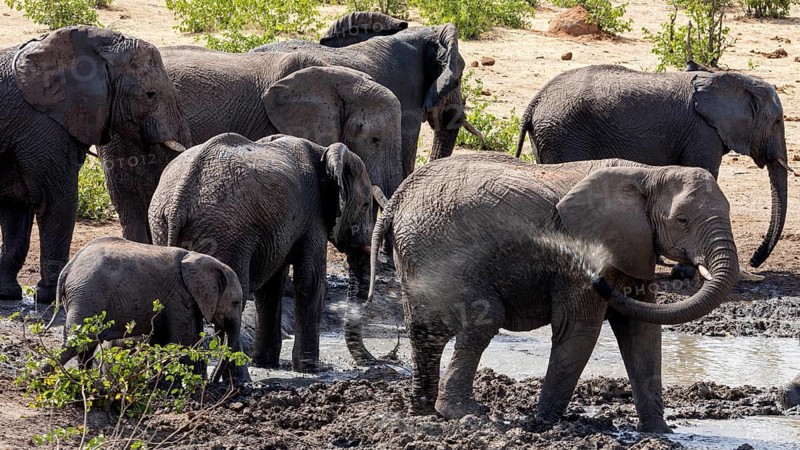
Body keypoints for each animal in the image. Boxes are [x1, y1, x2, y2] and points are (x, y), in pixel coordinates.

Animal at [0, 26, 191, 304]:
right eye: (150, 95)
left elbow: (16, 206)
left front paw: (8, 293)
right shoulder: (43, 124)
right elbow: (55, 199)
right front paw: (50, 297)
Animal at [49, 237, 247, 382]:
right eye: (236, 302)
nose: (213, 382)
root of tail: (69, 267)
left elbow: (159, 341)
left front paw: (155, 382)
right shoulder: (179, 296)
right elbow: (183, 341)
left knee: (86, 345)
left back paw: (86, 380)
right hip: (89, 296)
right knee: (75, 343)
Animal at [148, 134, 375, 372]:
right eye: (365, 205)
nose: (372, 363)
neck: (324, 150)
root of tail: (178, 201)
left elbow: (271, 288)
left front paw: (267, 363)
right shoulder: (314, 215)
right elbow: (309, 281)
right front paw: (312, 369)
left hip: (162, 224)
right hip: (225, 233)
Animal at [366, 153, 739, 432]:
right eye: (682, 220)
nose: (596, 277)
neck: (647, 173)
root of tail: (396, 200)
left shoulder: (636, 246)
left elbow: (641, 332)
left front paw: (661, 433)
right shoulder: (584, 253)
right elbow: (580, 330)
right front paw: (540, 425)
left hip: (416, 256)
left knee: (423, 331)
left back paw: (423, 410)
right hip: (442, 251)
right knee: (483, 321)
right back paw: (465, 413)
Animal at [515, 64, 789, 270]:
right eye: (777, 122)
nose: (754, 260)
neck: (731, 80)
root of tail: (533, 103)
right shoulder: (703, 133)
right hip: (563, 134)